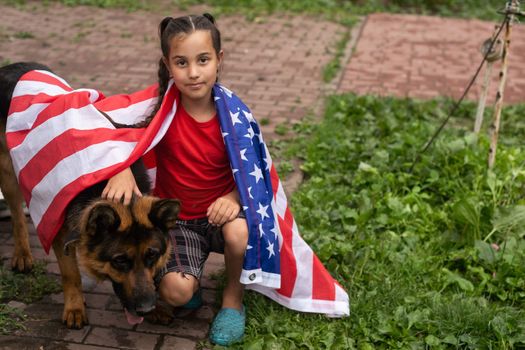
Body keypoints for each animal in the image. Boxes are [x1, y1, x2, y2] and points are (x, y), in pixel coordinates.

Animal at [0, 62, 180, 328]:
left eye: (152, 255)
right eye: (119, 260)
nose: (146, 308)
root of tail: (13, 66)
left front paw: (157, 308)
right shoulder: (58, 228)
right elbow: (70, 273)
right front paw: (74, 308)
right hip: (8, 174)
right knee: (16, 215)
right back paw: (22, 253)